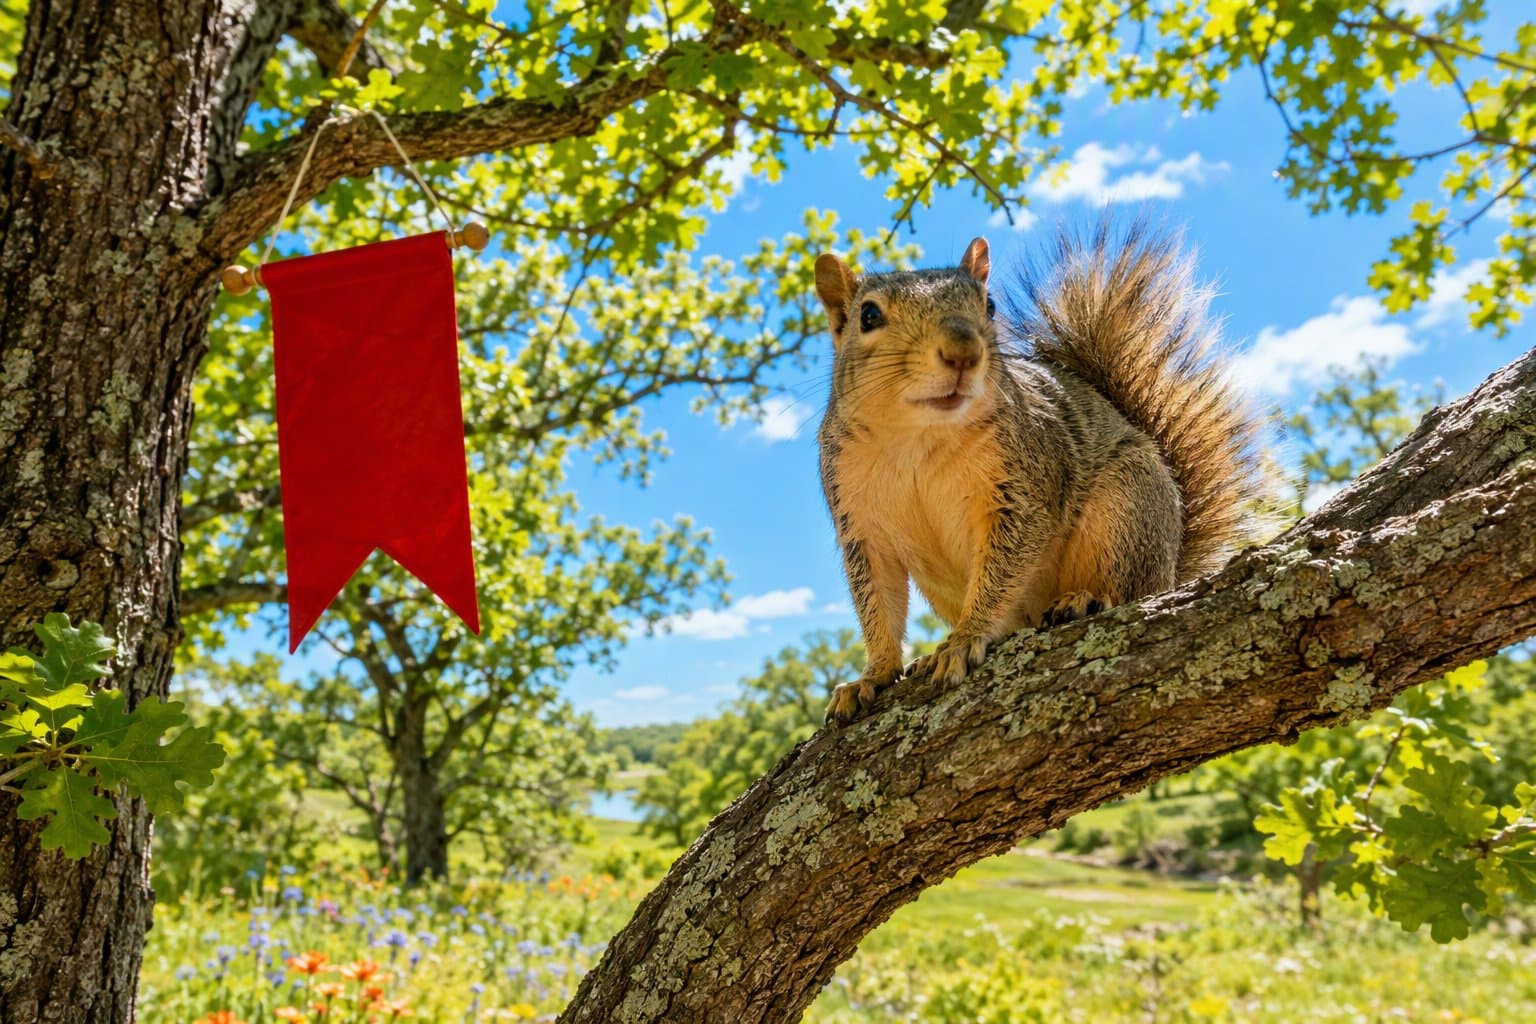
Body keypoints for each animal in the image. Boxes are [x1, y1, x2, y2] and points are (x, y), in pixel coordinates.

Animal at [813, 223, 1265, 725]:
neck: (917, 437)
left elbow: (1005, 566)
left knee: (1131, 589)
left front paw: (964, 639)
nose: (963, 352)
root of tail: (1171, 568)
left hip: (1128, 510)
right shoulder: (859, 522)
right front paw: (873, 674)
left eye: (989, 305)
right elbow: (876, 601)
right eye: (868, 315)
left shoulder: (1027, 485)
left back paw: (1085, 599)